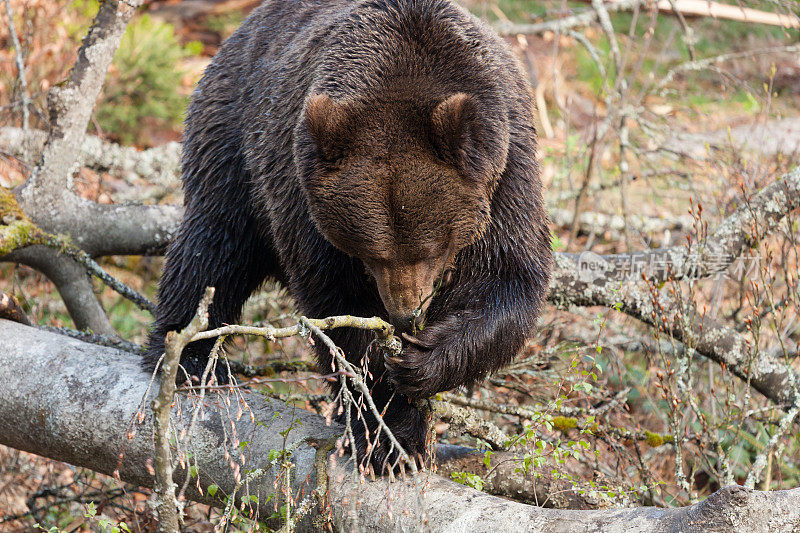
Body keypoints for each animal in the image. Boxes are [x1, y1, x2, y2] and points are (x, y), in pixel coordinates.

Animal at [144, 0, 552, 470]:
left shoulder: (506, 173)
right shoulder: (303, 194)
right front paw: (390, 435)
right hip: (234, 135)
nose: (405, 313)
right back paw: (186, 358)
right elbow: (339, 312)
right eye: (372, 253)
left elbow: (508, 278)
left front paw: (422, 361)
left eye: (431, 249)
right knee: (213, 245)